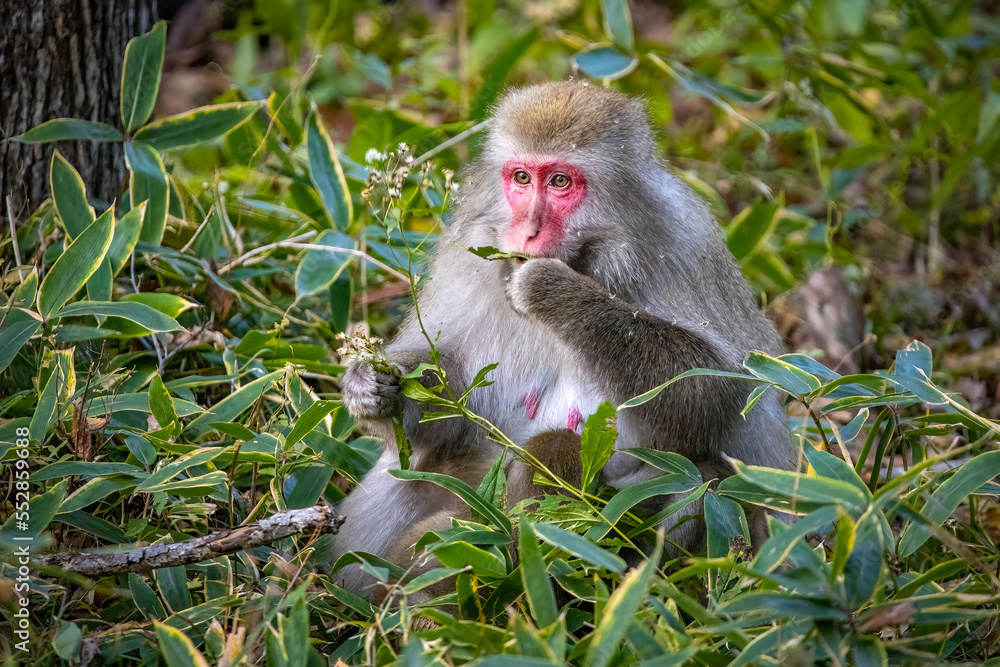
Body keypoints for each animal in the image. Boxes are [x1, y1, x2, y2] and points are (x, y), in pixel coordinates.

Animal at [330, 82, 794, 599]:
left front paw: (553, 291)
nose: (528, 231)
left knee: (697, 483)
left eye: (559, 182)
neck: (590, 257)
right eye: (521, 178)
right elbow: (448, 394)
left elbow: (719, 390)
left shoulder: (685, 243)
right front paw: (371, 385)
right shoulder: (466, 250)